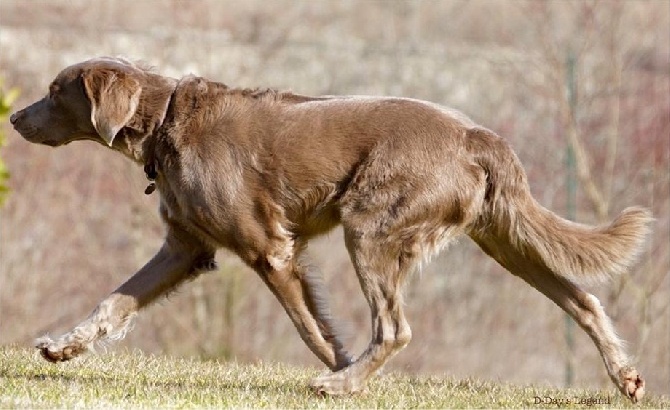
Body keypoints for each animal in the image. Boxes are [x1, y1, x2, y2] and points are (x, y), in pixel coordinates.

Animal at [10, 56, 652, 400]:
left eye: (53, 92)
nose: (14, 116)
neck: (167, 122)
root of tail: (479, 135)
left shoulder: (269, 248)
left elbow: (311, 329)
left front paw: (339, 372)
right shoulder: (186, 249)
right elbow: (113, 302)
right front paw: (62, 346)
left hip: (370, 227)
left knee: (395, 329)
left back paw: (341, 387)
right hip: (505, 237)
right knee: (582, 299)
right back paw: (625, 378)